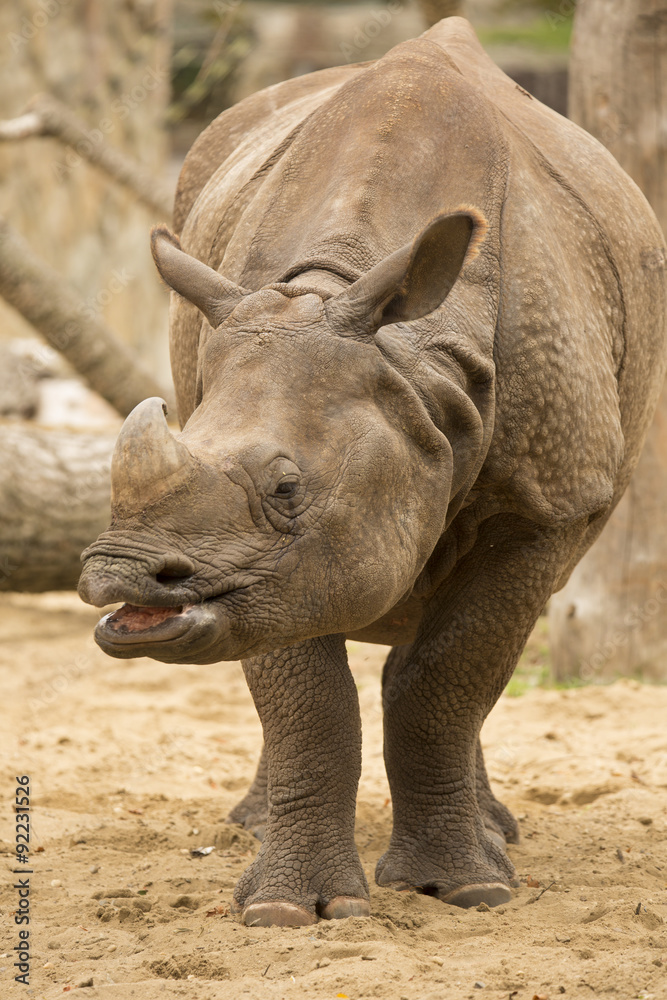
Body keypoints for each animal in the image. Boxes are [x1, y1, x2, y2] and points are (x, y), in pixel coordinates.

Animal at [79, 18, 666, 927]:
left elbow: (449, 674)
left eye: (286, 489)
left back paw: (495, 838)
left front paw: (463, 891)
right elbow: (306, 695)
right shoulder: (280, 563)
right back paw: (254, 826)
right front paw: (289, 912)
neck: (414, 365)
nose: (119, 576)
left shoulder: (546, 505)